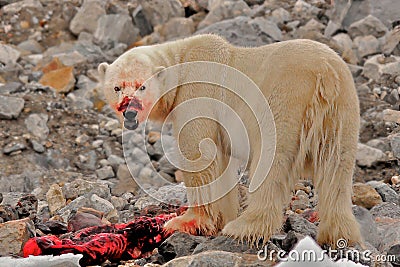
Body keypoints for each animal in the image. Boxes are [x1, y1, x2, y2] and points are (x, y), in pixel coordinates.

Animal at [97, 34, 362, 248]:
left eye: (141, 86)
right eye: (117, 87)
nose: (129, 112)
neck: (180, 63)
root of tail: (326, 74)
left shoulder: (198, 91)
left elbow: (197, 154)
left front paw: (185, 222)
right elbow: (221, 163)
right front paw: (220, 218)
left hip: (285, 99)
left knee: (272, 162)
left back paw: (245, 227)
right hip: (343, 109)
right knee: (337, 168)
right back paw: (338, 234)